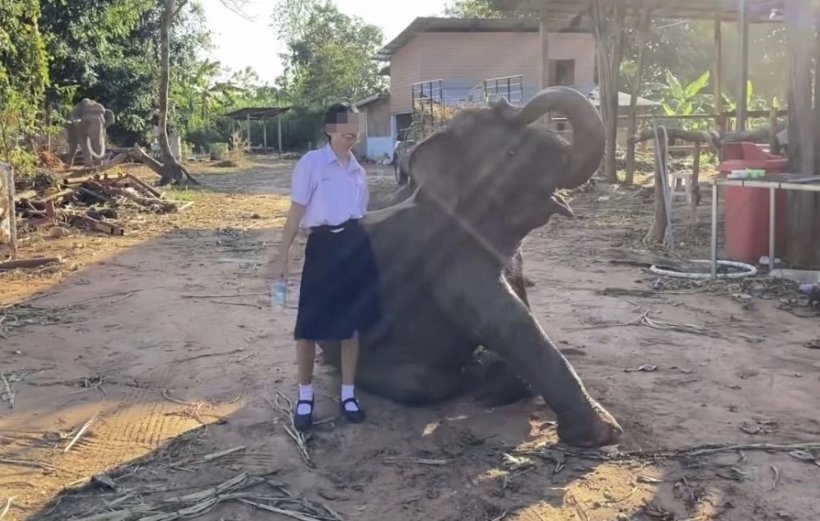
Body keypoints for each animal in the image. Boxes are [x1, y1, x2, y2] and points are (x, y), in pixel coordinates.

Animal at [318, 86, 624, 446]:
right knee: (421, 383)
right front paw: (603, 433)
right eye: (511, 153)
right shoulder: (451, 260)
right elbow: (509, 320)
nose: (502, 101)